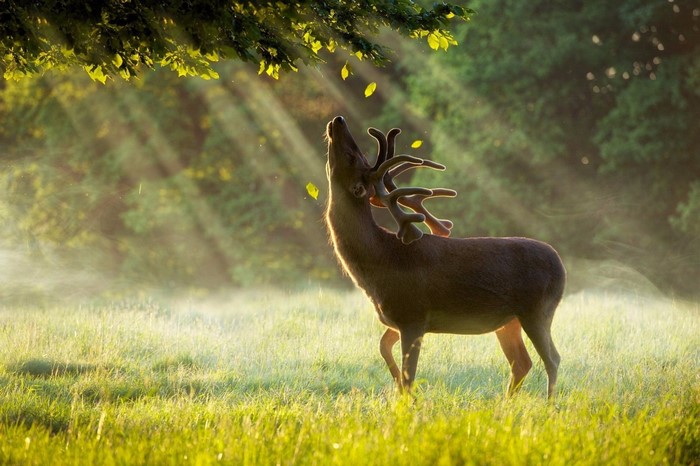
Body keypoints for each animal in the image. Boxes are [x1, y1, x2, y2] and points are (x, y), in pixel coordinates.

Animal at [324, 116, 566, 398]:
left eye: (353, 156)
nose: (338, 120)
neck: (379, 262)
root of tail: (561, 266)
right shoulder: (398, 319)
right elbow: (383, 348)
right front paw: (397, 388)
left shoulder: (413, 315)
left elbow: (409, 375)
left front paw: (407, 399)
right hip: (509, 321)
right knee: (522, 362)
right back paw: (507, 403)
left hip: (538, 309)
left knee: (552, 359)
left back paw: (548, 404)